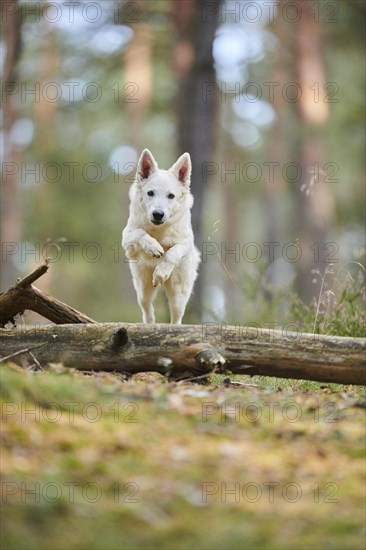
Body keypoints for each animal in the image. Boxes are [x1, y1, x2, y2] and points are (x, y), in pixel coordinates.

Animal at [121, 149, 200, 326]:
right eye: (150, 193)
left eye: (171, 196)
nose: (158, 214)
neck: (159, 229)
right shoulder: (126, 237)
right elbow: (140, 233)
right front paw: (153, 247)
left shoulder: (185, 243)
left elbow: (172, 253)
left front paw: (161, 272)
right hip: (143, 290)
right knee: (148, 313)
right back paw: (149, 325)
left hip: (178, 295)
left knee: (176, 319)